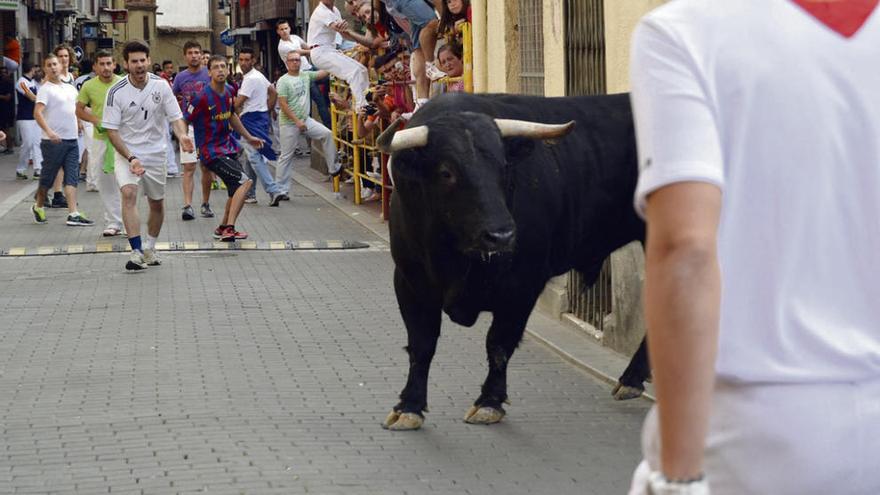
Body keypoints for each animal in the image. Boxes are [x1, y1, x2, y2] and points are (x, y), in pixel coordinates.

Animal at [374, 92, 648, 430]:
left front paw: (489, 402)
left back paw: (632, 379)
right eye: (446, 172)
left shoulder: (522, 286)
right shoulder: (410, 282)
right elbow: (421, 344)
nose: (501, 234)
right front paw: (409, 406)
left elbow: (499, 343)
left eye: (504, 167)